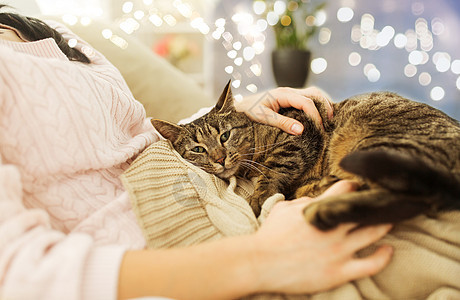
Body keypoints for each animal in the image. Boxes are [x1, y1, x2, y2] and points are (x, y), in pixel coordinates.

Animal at [152, 81, 460, 231]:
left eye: (224, 136)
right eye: (198, 149)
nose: (218, 158)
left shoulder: (300, 132)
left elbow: (272, 172)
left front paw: (259, 199)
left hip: (380, 145)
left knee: (414, 198)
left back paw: (324, 208)